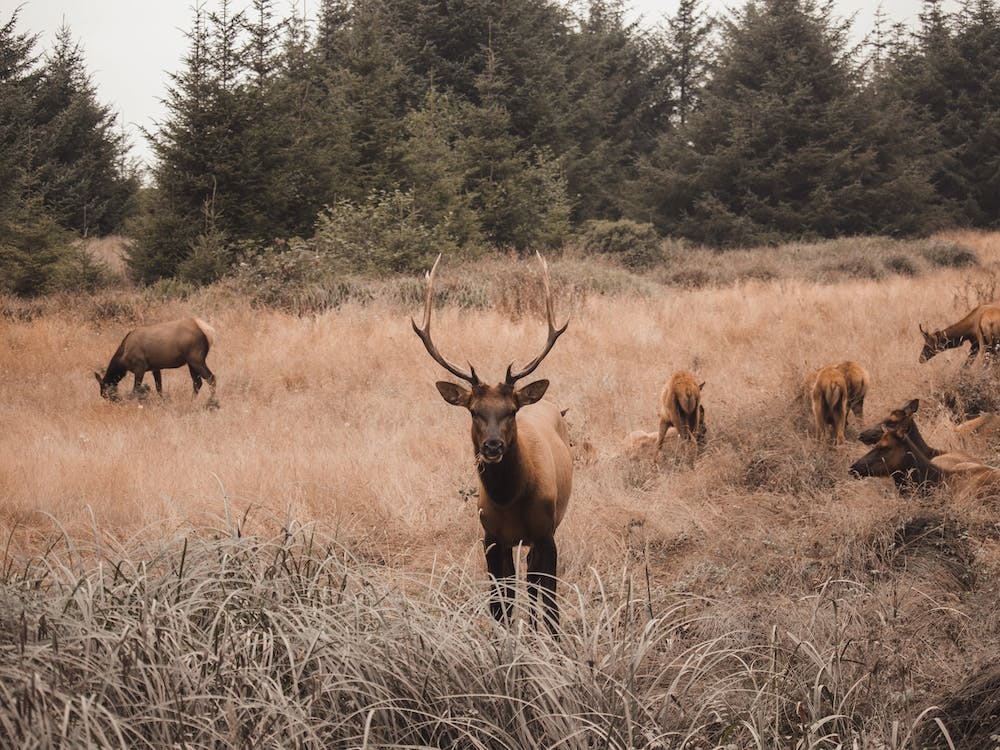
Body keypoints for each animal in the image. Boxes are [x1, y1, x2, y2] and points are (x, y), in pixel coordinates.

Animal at [412, 253, 572, 634]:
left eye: (511, 410)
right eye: (474, 411)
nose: (493, 447)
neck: (511, 498)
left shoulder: (546, 531)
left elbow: (551, 605)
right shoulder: (491, 536)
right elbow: (499, 605)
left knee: (535, 583)